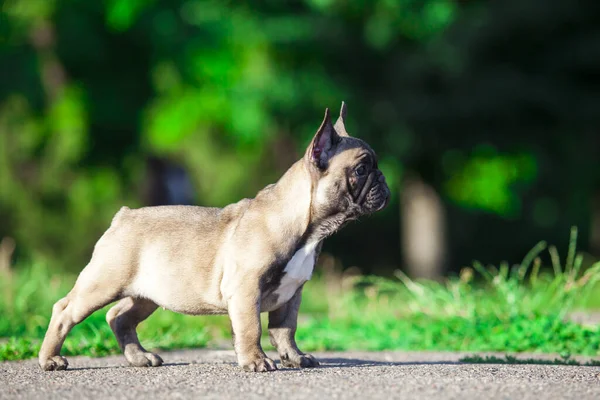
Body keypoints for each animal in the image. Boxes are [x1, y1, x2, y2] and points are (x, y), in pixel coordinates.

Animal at [38, 102, 394, 372]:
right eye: (361, 170)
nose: (383, 178)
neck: (308, 227)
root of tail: (123, 216)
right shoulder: (246, 289)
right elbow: (252, 328)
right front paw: (256, 362)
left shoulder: (292, 294)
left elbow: (285, 329)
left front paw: (294, 358)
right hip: (103, 282)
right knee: (65, 310)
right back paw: (51, 359)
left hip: (149, 294)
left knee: (119, 317)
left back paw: (140, 357)